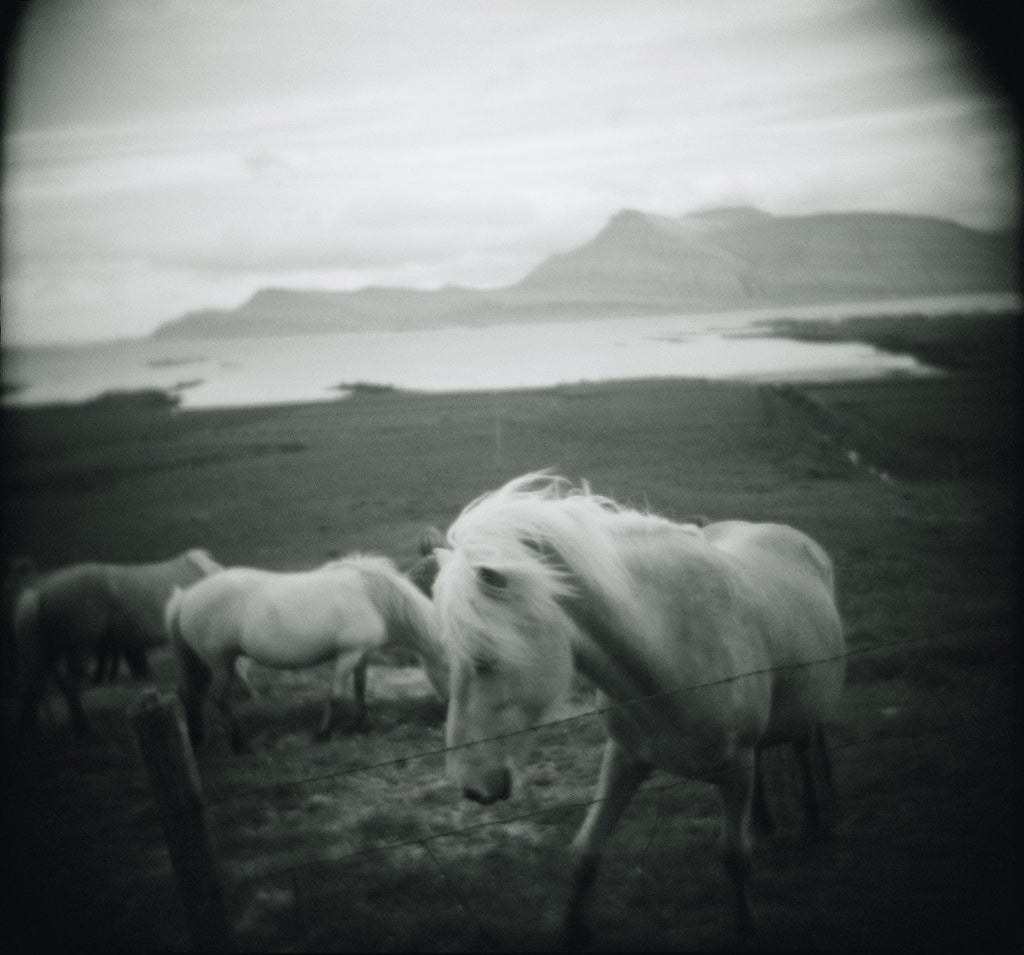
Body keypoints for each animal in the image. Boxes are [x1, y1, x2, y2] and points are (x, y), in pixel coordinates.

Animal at [13, 549, 224, 737]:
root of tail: (40, 592)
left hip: (51, 653)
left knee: (35, 688)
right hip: (78, 650)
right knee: (69, 687)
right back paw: (84, 730)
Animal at [166, 553, 449, 752]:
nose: (445, 714)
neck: (373, 596)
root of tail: (186, 597)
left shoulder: (361, 654)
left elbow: (360, 688)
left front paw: (361, 724)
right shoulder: (348, 654)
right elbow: (335, 695)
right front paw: (323, 733)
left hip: (209, 663)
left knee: (196, 696)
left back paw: (202, 739)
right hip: (219, 661)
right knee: (219, 698)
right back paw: (239, 744)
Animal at [432, 472, 845, 944]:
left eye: (484, 658)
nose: (470, 786)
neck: (672, 650)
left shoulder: (736, 768)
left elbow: (735, 858)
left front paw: (746, 929)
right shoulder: (625, 758)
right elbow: (586, 852)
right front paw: (572, 930)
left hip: (804, 715)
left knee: (804, 747)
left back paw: (812, 821)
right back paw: (763, 821)